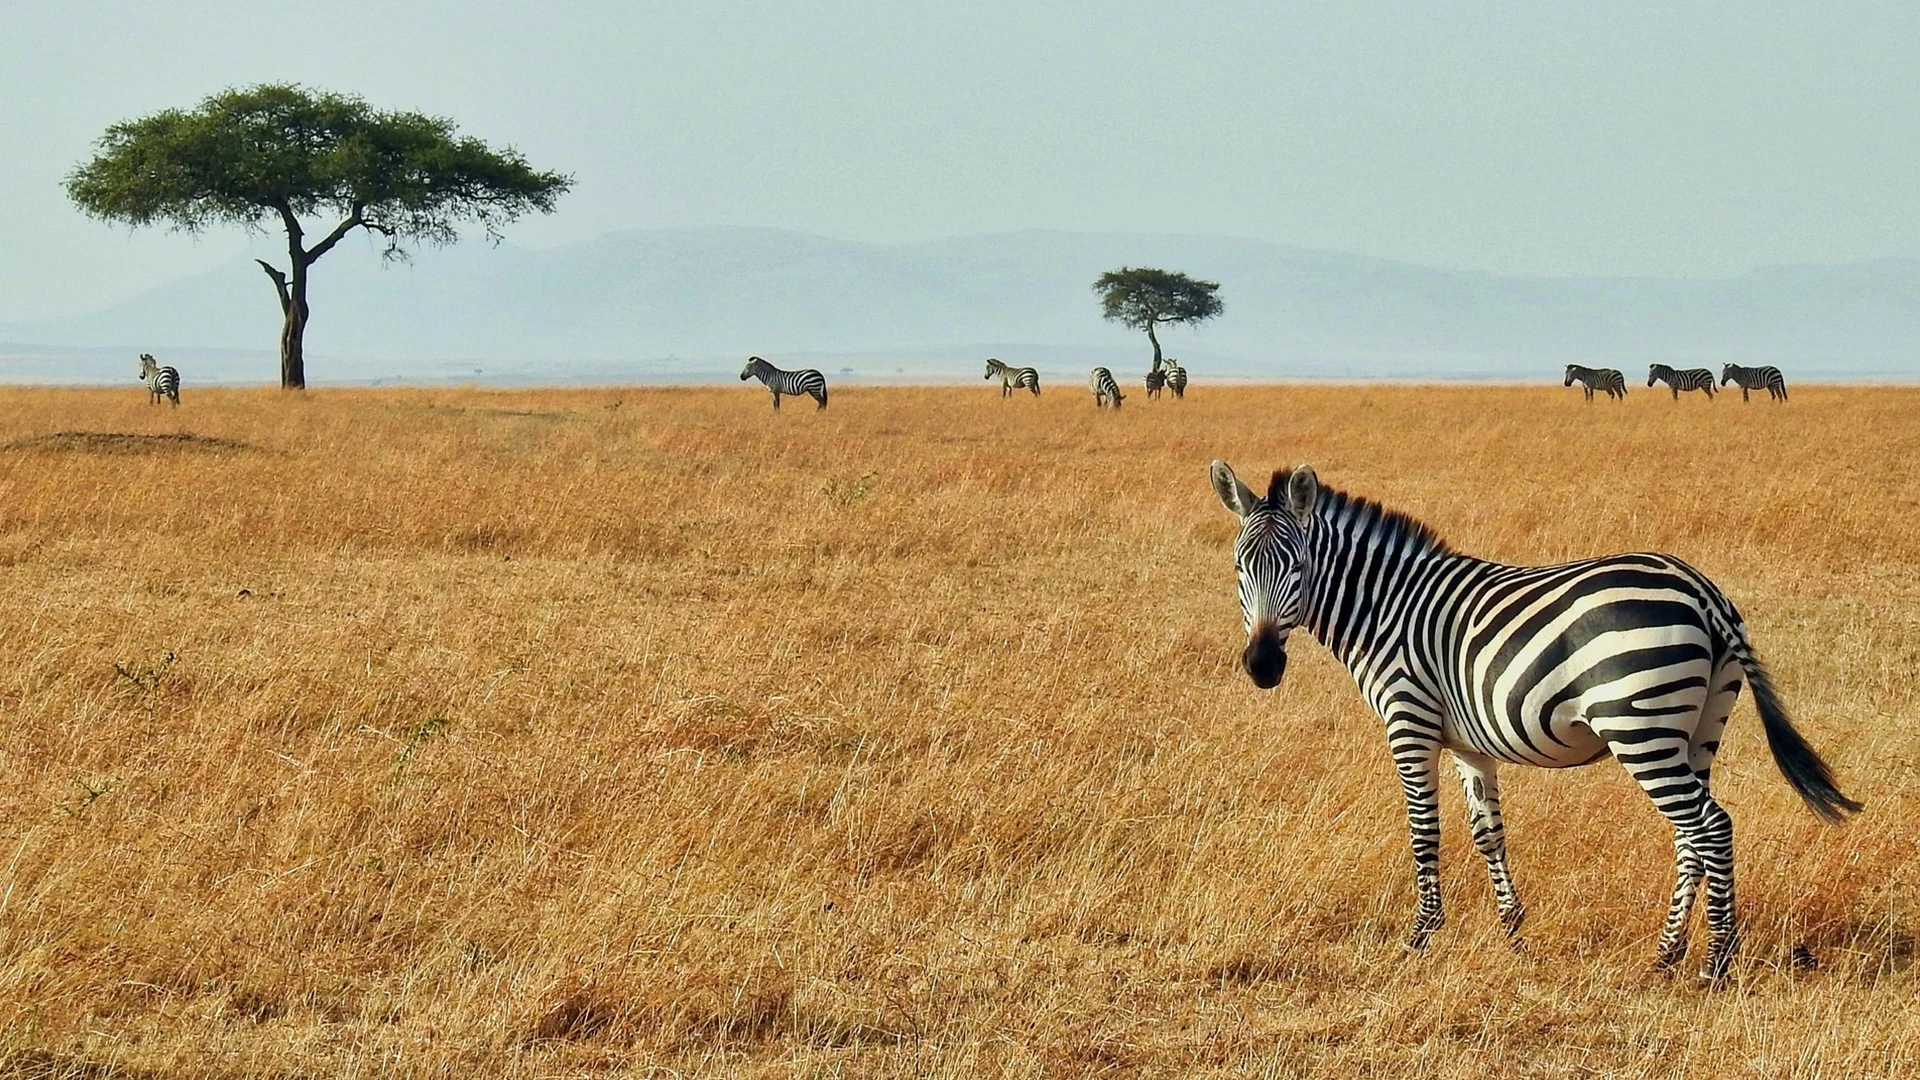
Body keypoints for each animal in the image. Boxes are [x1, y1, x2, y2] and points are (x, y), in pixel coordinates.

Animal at [1213, 453, 1858, 976]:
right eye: (1241, 568)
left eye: (1296, 566)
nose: (1263, 665)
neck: (1387, 607)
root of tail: (1700, 588)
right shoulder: (1468, 744)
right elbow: (1488, 834)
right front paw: (1513, 933)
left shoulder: (1409, 721)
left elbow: (1424, 831)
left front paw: (1420, 937)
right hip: (1699, 728)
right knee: (1691, 836)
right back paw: (1666, 955)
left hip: (1639, 726)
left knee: (1712, 827)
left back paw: (1714, 963)